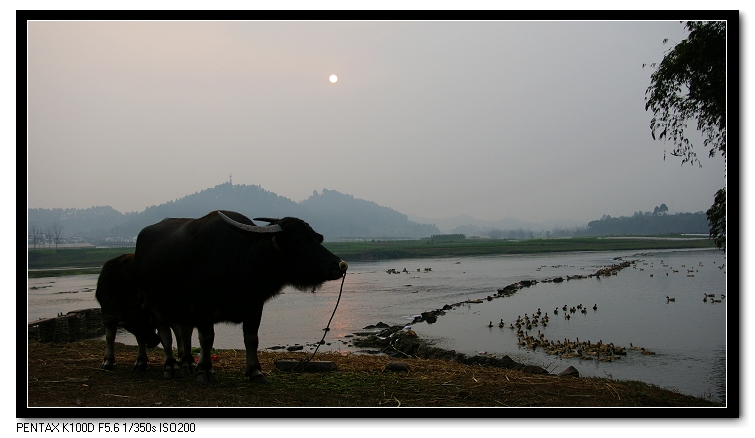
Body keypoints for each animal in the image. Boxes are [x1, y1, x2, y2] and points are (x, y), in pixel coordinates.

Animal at [134, 210, 346, 384]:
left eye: (316, 237)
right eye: (298, 238)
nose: (339, 264)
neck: (242, 261)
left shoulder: (254, 306)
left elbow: (251, 339)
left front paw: (256, 372)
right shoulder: (202, 307)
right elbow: (207, 339)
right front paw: (205, 371)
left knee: (182, 332)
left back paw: (187, 365)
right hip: (152, 303)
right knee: (165, 335)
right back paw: (170, 367)